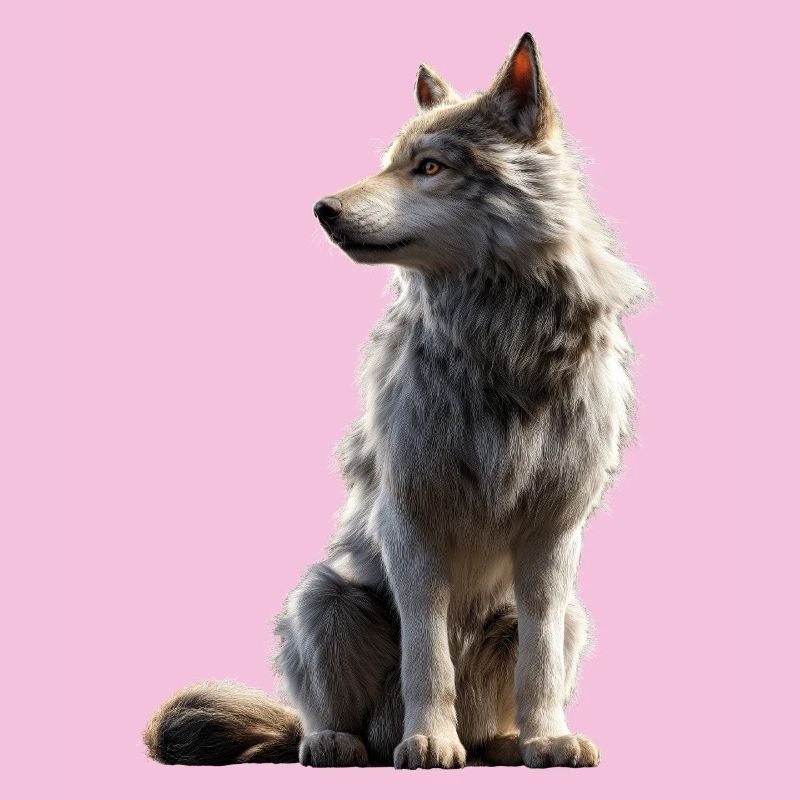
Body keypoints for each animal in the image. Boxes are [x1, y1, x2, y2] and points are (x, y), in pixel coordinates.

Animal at [144, 33, 648, 769]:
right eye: (389, 164)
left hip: (570, 615)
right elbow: (426, 654)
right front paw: (430, 741)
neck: (498, 342)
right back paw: (341, 742)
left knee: (516, 688)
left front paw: (548, 739)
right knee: (325, 718)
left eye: (429, 167)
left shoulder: (554, 534)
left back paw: (503, 744)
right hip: (324, 598)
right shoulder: (410, 519)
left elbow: (542, 663)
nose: (323, 209)